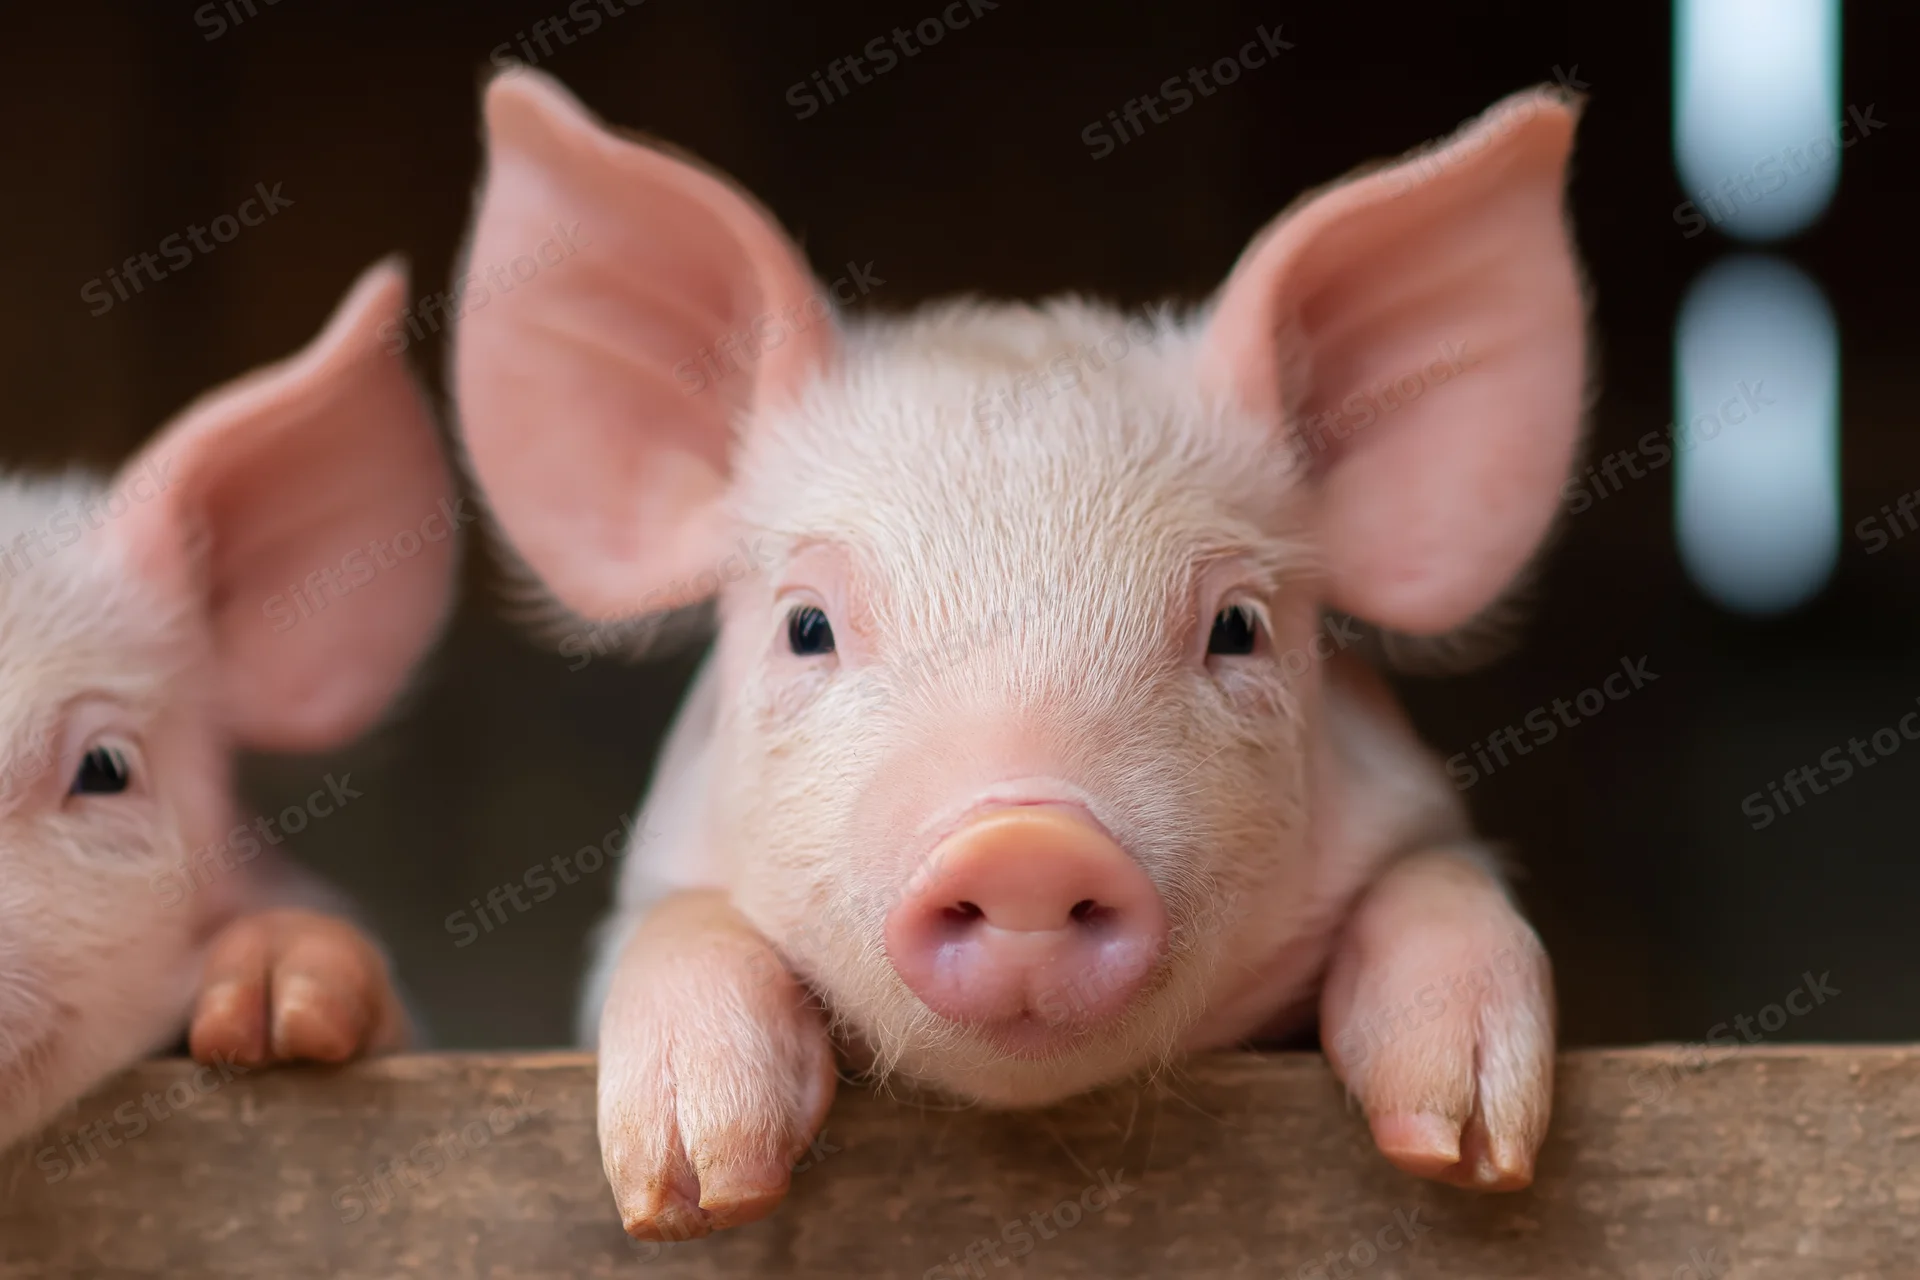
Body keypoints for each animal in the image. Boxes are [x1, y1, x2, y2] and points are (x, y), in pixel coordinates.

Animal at [453, 69, 1585, 1240]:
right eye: (806, 626)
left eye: (1238, 626)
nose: (1027, 846)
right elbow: (682, 928)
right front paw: (695, 1190)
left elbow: (1439, 879)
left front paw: (1465, 1150)